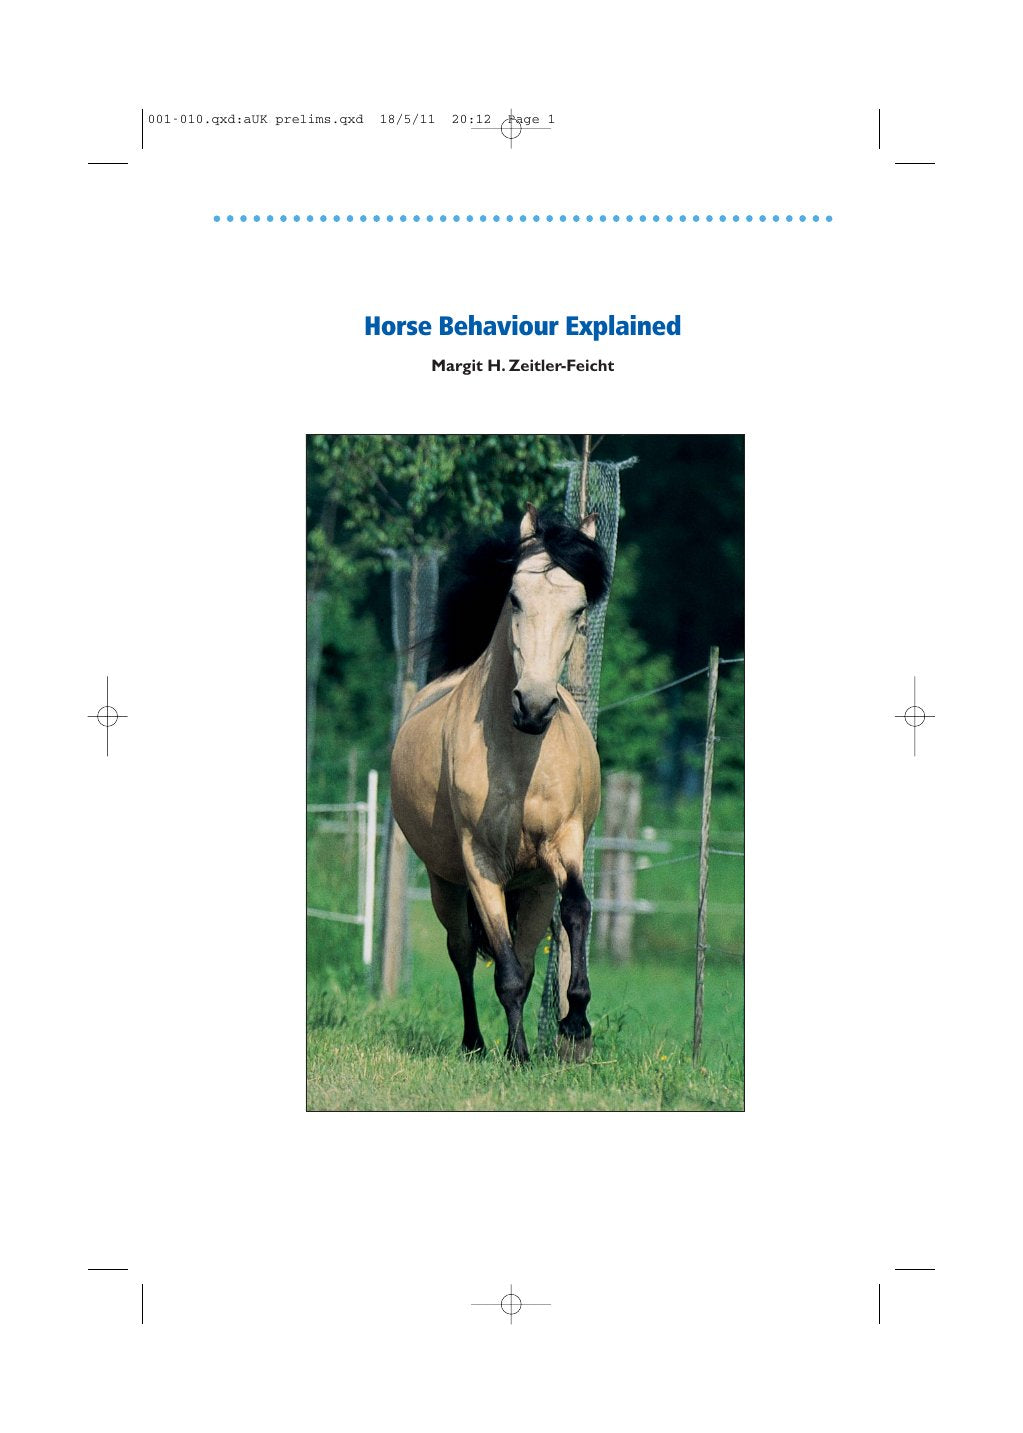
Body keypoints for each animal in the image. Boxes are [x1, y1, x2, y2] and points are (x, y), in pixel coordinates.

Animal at [390, 503, 610, 1062]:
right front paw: (518, 1054)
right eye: (515, 598)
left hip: (532, 887)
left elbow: (577, 910)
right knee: (465, 953)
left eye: (579, 610)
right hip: (445, 881)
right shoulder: (480, 863)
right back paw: (475, 1043)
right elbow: (502, 971)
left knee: (530, 955)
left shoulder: (564, 843)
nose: (532, 706)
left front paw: (576, 1022)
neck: (518, 762)